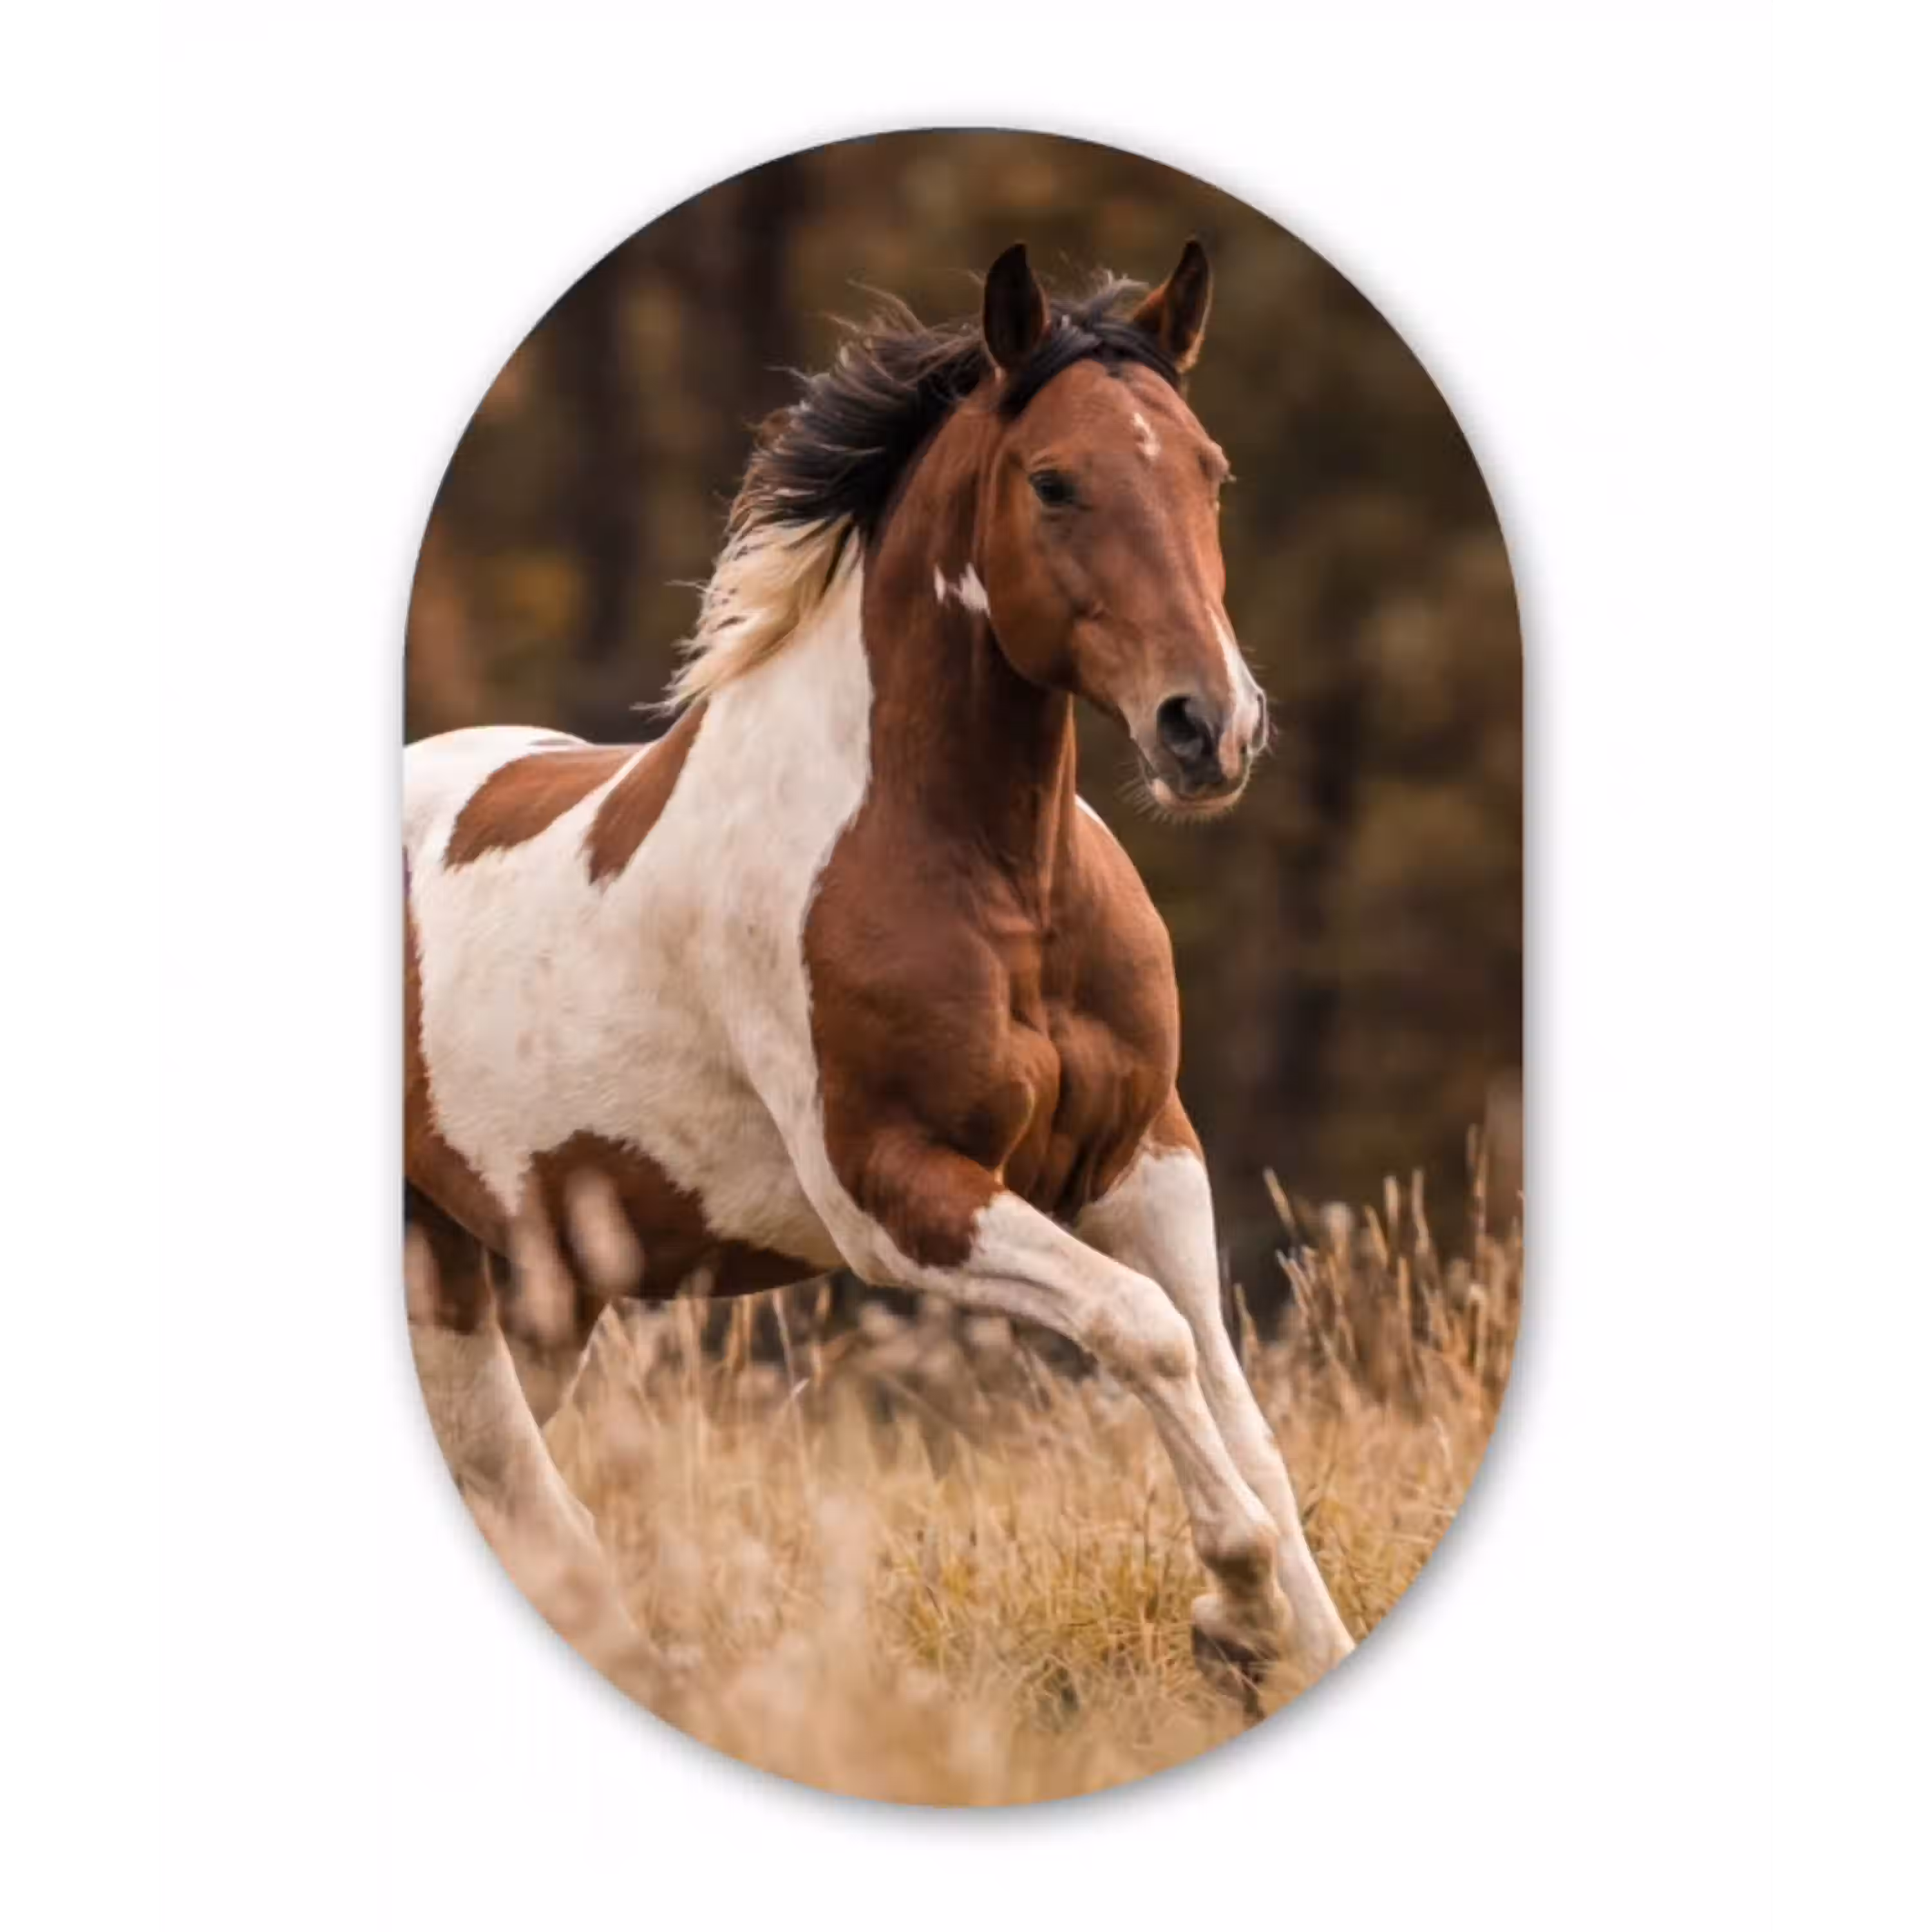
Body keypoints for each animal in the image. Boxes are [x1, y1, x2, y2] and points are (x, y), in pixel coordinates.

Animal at [403, 239, 1358, 1707]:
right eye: (1054, 480)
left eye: (1211, 470)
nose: (1210, 727)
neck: (993, 879)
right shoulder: (895, 1194)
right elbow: (1143, 1331)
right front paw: (1234, 1613)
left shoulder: (1147, 1157)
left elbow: (1231, 1395)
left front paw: (1300, 1640)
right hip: (441, 1273)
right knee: (520, 1491)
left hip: (534, 1286)